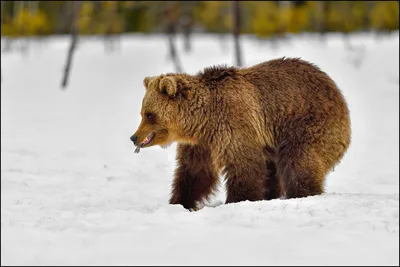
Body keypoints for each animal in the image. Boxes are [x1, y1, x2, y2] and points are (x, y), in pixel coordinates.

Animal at [130, 57, 350, 211]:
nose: (133, 137)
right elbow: (195, 172)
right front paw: (181, 202)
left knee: (299, 161)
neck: (201, 120)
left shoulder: (233, 125)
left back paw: (302, 193)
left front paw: (238, 200)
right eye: (142, 112)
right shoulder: (202, 143)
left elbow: (244, 165)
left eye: (149, 114)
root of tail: (337, 92)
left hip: (307, 123)